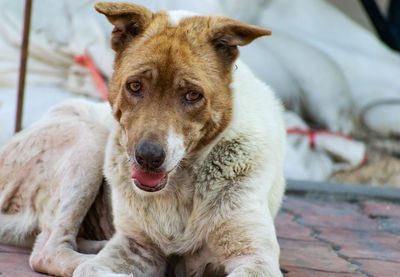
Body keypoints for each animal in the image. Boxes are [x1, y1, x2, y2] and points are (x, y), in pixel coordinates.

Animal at [0, 2, 286, 276]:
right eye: (135, 86)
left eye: (193, 95)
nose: (148, 157)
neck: (180, 186)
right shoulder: (135, 246)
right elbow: (91, 269)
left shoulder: (254, 256)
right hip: (90, 139)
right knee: (47, 251)